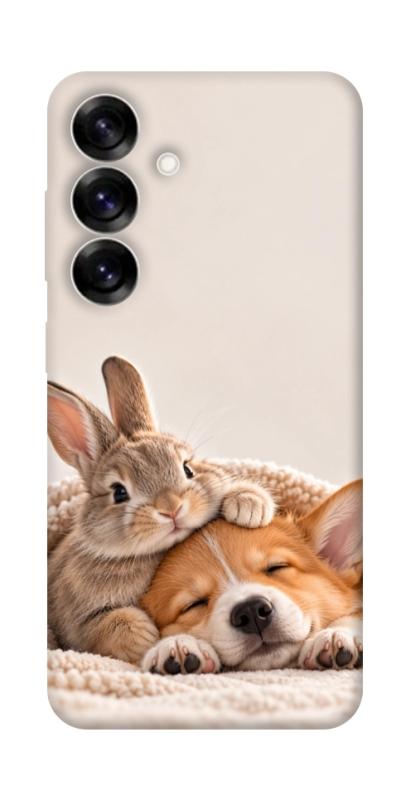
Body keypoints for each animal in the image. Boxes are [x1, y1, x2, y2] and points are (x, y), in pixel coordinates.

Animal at [48, 356, 276, 664]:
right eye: (119, 492)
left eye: (187, 468)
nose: (171, 508)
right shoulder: (78, 623)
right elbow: (108, 626)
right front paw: (147, 638)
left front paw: (249, 505)